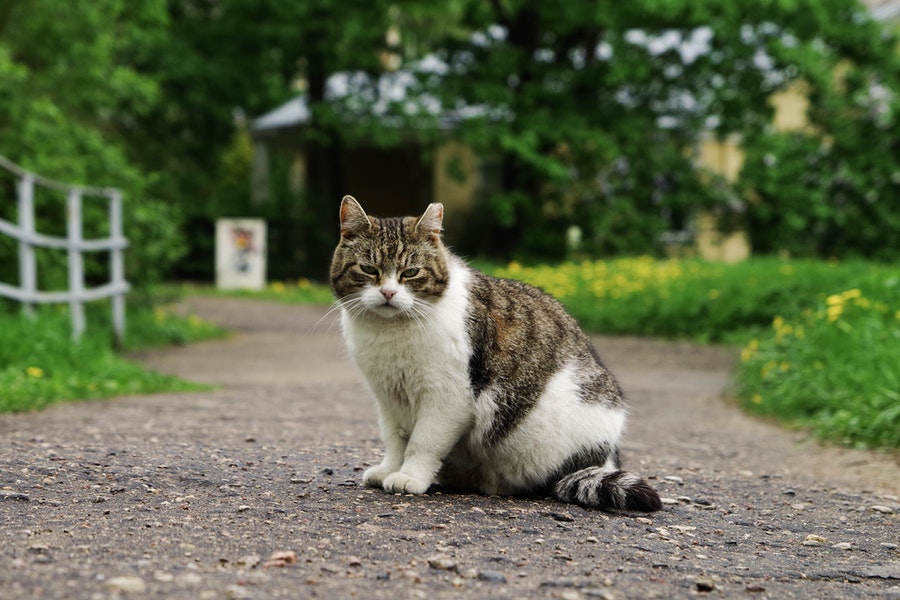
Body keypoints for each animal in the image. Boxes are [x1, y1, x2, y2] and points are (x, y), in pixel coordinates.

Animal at [330, 196, 660, 510]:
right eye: (368, 269)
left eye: (410, 272)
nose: (388, 293)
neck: (389, 333)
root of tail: (608, 458)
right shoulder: (388, 398)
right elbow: (395, 440)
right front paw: (390, 469)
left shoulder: (448, 397)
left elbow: (423, 442)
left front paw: (410, 476)